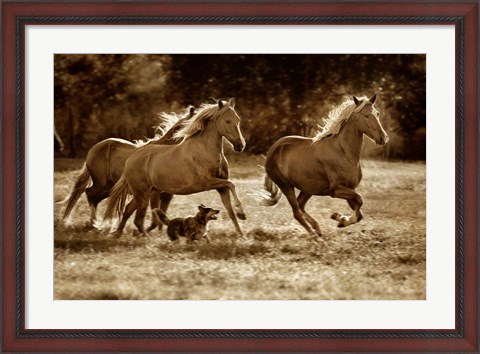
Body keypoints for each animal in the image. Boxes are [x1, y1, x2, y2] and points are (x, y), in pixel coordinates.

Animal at [105, 99, 248, 238]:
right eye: (227, 121)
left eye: (238, 120)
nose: (240, 145)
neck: (206, 150)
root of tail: (130, 159)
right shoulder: (208, 182)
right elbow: (231, 184)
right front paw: (242, 213)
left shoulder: (221, 188)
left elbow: (230, 211)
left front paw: (242, 234)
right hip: (143, 194)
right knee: (138, 219)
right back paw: (145, 237)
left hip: (144, 193)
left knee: (129, 210)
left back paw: (119, 234)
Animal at [262, 95, 390, 236]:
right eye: (366, 115)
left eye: (377, 113)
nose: (383, 138)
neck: (344, 152)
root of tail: (273, 149)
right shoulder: (336, 190)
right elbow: (360, 201)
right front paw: (340, 218)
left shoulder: (350, 188)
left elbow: (359, 212)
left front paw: (340, 219)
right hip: (286, 186)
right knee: (296, 212)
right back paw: (314, 236)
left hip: (308, 189)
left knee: (301, 206)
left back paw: (317, 229)